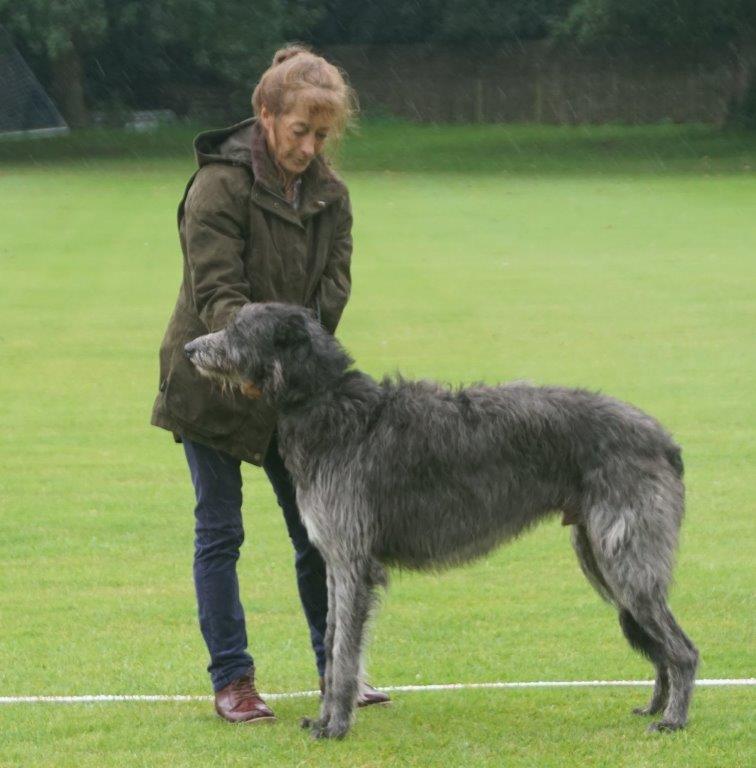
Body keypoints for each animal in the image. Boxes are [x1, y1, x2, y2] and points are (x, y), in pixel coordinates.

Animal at [186, 304, 700, 740]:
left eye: (237, 329)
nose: (190, 349)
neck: (328, 403)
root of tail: (665, 440)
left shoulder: (352, 559)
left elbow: (344, 650)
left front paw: (336, 726)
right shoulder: (335, 561)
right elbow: (331, 641)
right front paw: (325, 717)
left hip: (625, 556)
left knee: (682, 649)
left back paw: (674, 719)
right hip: (600, 555)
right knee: (659, 643)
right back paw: (656, 706)